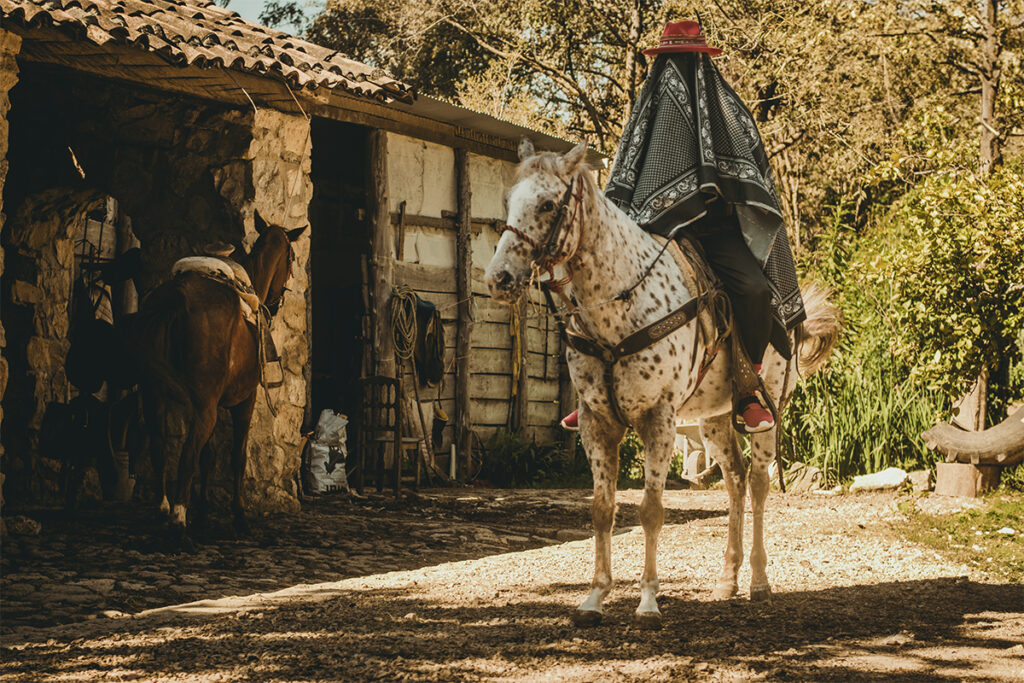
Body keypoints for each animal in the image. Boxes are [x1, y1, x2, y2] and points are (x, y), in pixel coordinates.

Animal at [137, 212, 305, 544]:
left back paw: (163, 510)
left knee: (161, 447)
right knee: (187, 454)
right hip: (203, 407)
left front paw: (203, 515)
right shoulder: (245, 400)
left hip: (156, 396)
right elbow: (236, 457)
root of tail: (176, 298)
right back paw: (178, 520)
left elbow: (209, 456)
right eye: (292, 258)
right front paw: (239, 517)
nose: (276, 303)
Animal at [484, 140, 839, 628]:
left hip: (768, 411)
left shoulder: (659, 419)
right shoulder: (597, 423)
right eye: (508, 201)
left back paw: (758, 581)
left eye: (548, 204)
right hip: (714, 419)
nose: (499, 278)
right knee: (735, 479)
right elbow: (602, 511)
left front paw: (648, 601)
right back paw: (726, 579)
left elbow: (651, 511)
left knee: (759, 482)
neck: (618, 305)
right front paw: (594, 598)